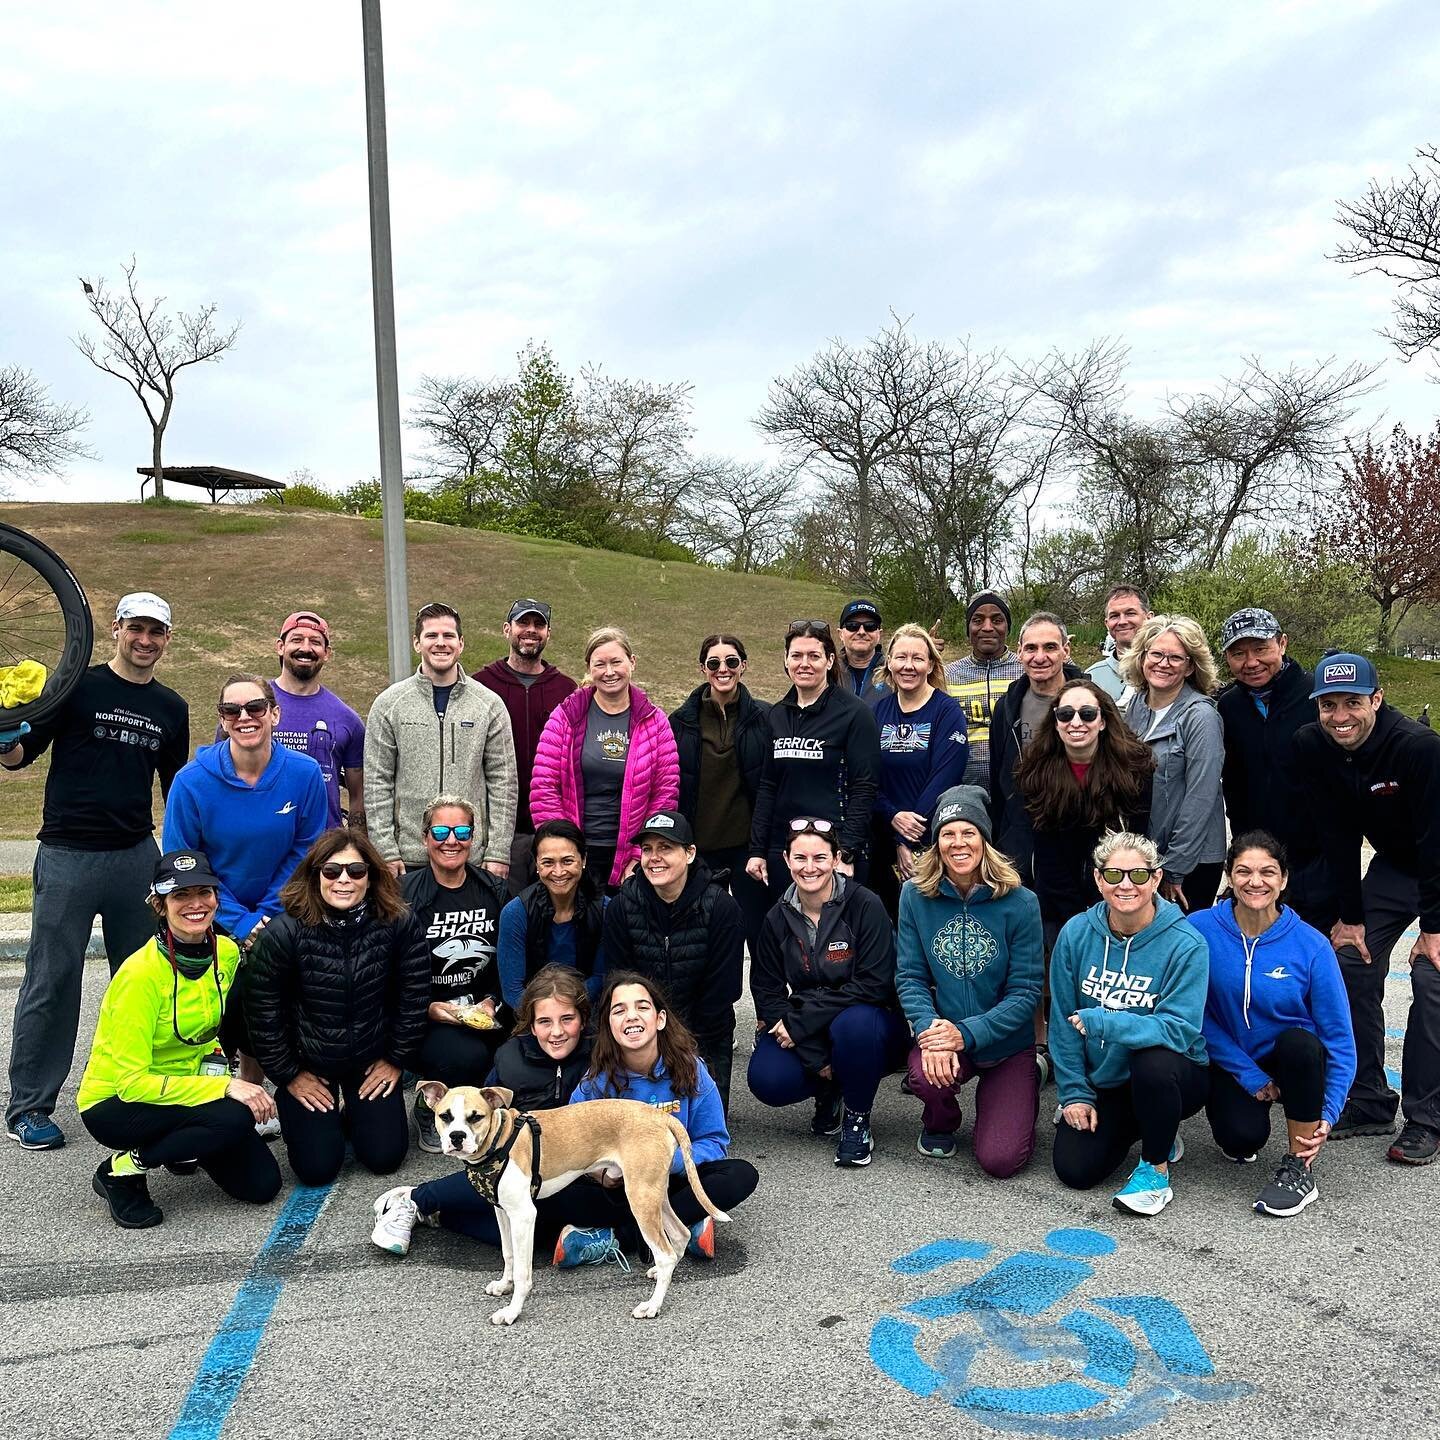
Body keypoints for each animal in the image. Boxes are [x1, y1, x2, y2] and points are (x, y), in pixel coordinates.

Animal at [420, 1082, 731, 1319]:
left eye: (475, 1117)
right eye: (445, 1116)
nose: (456, 1137)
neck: (500, 1141)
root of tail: (661, 1117)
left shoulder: (524, 1216)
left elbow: (523, 1271)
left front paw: (512, 1311)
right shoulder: (502, 1211)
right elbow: (508, 1255)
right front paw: (503, 1285)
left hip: (640, 1198)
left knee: (665, 1252)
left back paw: (652, 1306)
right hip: (653, 1193)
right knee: (680, 1234)